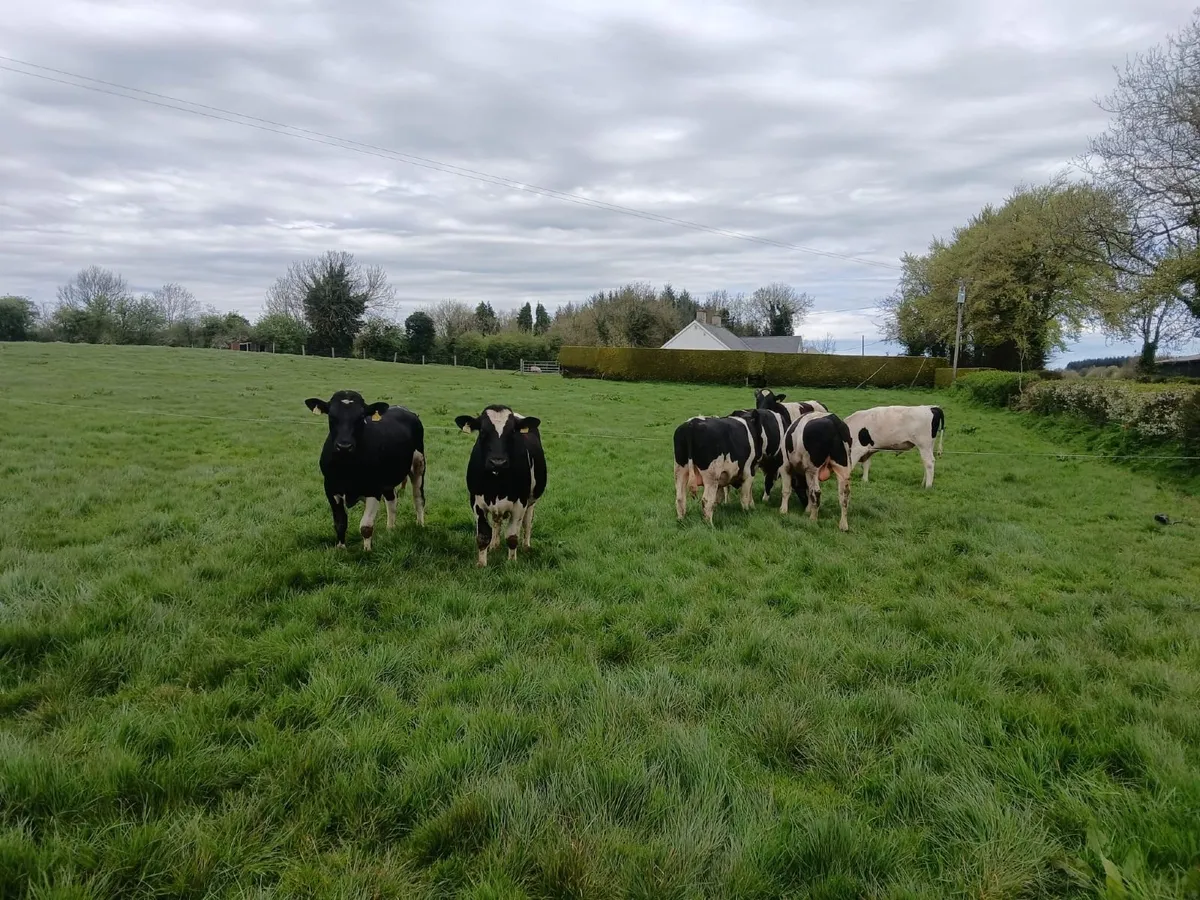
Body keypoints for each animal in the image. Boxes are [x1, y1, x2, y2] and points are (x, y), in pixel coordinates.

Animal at [304, 390, 426, 550]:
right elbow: (340, 522)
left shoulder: (373, 490)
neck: (347, 467)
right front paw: (341, 548)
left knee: (418, 497)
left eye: (361, 417)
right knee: (392, 499)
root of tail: (404, 409)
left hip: (419, 464)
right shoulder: (330, 488)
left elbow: (366, 526)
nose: (344, 446)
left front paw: (367, 550)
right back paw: (390, 528)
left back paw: (420, 524)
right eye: (331, 416)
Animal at [454, 404, 547, 567]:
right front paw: (482, 564)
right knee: (497, 522)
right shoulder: (476, 501)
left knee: (527, 523)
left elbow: (512, 536)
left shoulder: (520, 503)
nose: (498, 462)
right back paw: (494, 545)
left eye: (512, 432)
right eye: (482, 431)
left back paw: (526, 546)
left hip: (531, 502)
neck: (496, 483)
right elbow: (483, 535)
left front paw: (512, 562)